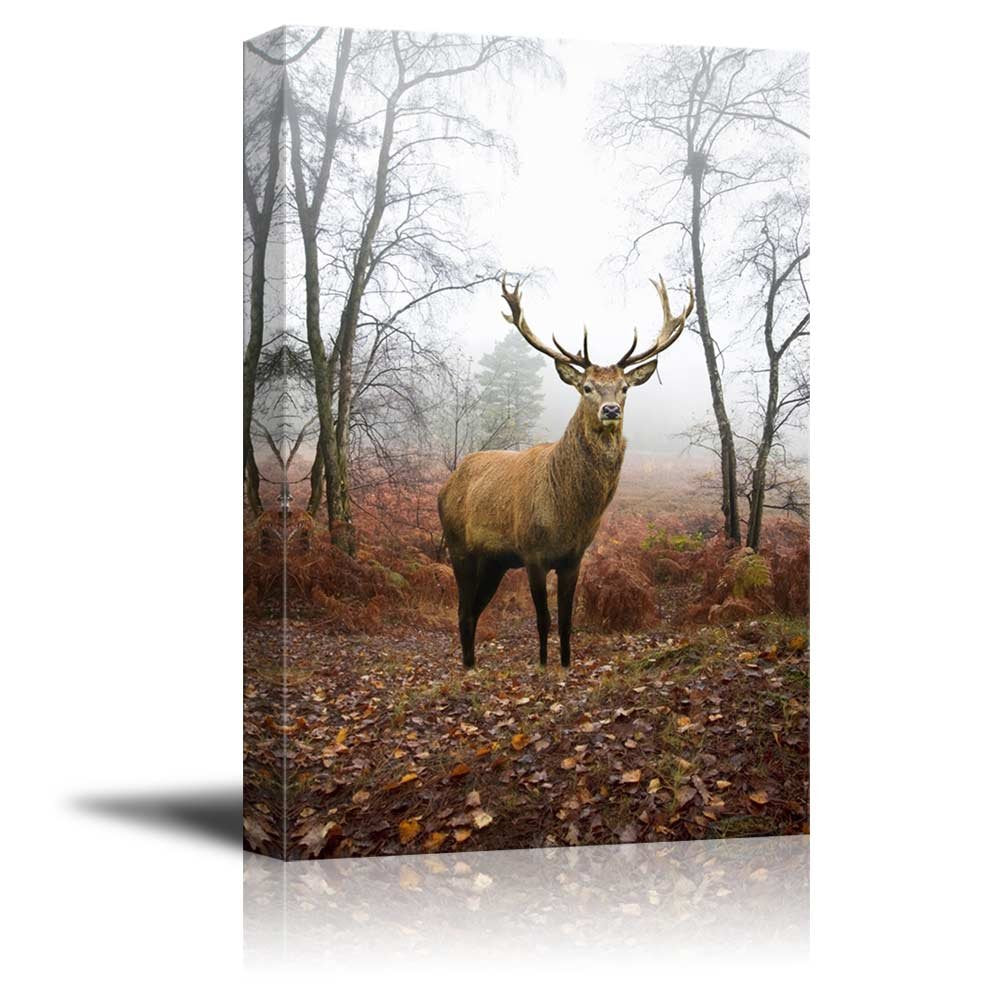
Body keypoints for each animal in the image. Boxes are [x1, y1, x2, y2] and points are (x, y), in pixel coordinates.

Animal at [438, 274, 693, 668]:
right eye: (586, 387)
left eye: (624, 388)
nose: (610, 410)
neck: (568, 513)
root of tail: (445, 486)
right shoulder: (532, 553)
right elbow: (543, 620)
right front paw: (544, 665)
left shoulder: (574, 557)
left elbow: (567, 620)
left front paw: (566, 663)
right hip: (458, 546)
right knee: (463, 610)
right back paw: (467, 668)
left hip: (494, 562)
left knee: (474, 611)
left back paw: (472, 663)